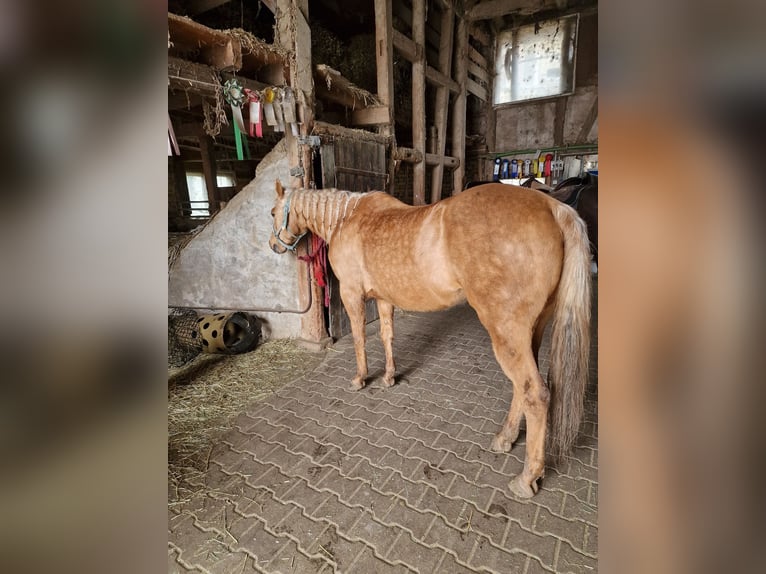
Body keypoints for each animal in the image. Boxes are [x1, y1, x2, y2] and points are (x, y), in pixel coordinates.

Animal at [268, 180, 591, 498]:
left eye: (272, 212)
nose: (274, 245)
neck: (345, 219)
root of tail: (552, 207)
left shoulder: (351, 294)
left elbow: (360, 337)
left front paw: (360, 378)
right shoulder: (384, 298)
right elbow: (386, 335)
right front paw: (389, 376)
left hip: (506, 331)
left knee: (534, 393)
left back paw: (526, 478)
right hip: (531, 330)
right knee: (521, 388)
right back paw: (504, 438)